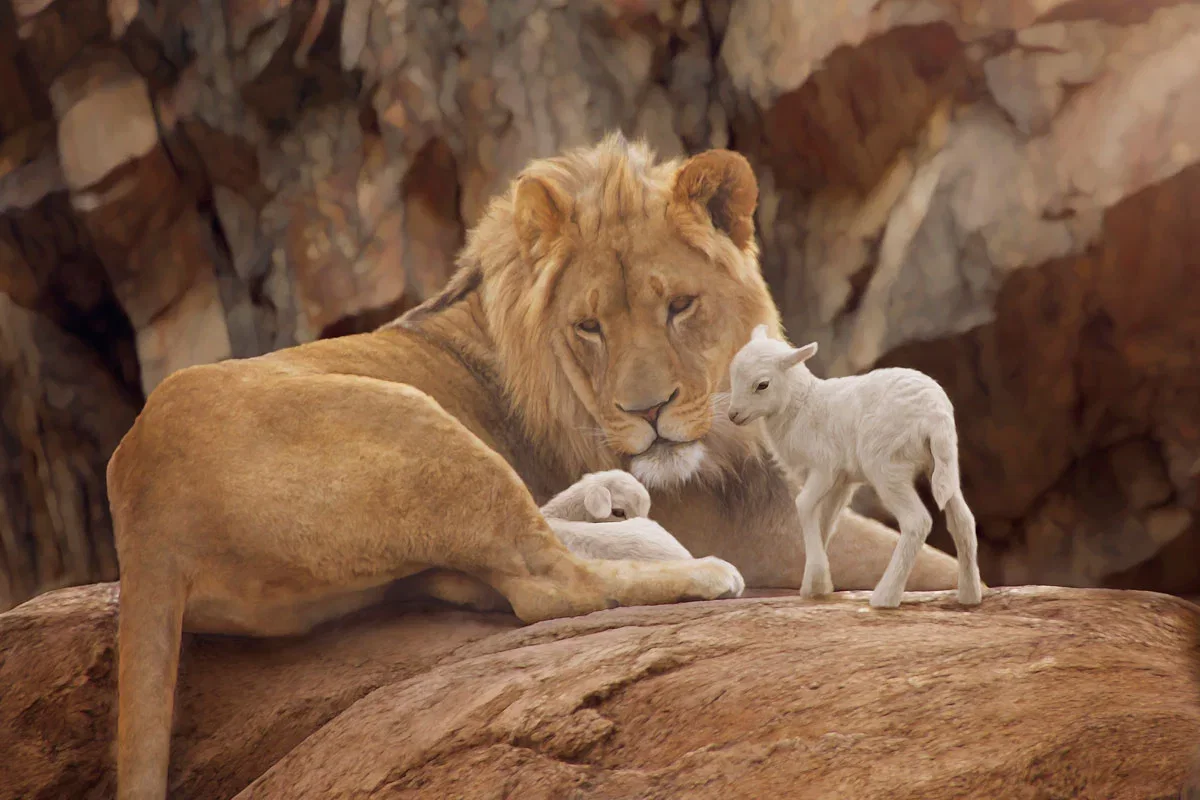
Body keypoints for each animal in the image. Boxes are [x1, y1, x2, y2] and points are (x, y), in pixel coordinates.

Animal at [726, 325, 983, 608]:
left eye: (762, 385)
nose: (733, 415)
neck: (802, 405)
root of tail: (935, 416)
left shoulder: (825, 467)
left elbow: (803, 505)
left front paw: (816, 578)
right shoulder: (842, 481)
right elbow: (825, 520)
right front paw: (816, 584)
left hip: (887, 466)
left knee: (917, 521)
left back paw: (885, 596)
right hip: (943, 464)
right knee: (963, 520)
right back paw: (969, 595)